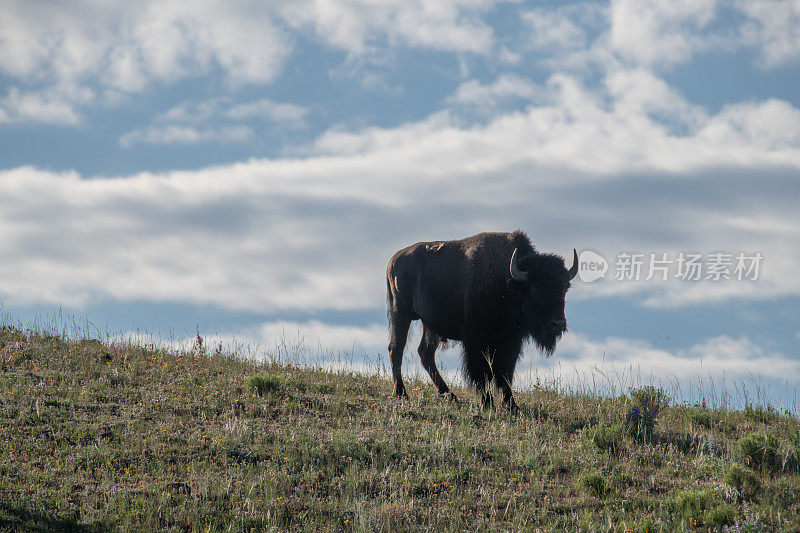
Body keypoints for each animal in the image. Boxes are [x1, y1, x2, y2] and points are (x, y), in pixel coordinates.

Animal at [386, 231, 576, 410]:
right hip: (400, 314)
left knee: (425, 353)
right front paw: (487, 403)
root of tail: (394, 260)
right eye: (535, 288)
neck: (506, 281)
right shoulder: (476, 341)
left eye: (564, 288)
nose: (558, 324)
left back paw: (450, 396)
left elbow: (505, 372)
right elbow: (482, 372)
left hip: (429, 326)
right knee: (396, 349)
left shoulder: (511, 341)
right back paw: (401, 393)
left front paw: (512, 406)